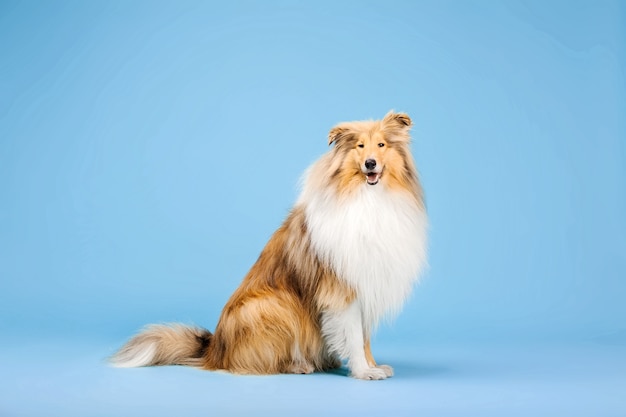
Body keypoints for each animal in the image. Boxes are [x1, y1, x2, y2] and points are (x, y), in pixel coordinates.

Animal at [109, 111, 426, 380]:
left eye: (382, 145)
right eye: (360, 146)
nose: (370, 163)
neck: (369, 199)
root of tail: (214, 350)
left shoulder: (367, 281)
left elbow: (364, 338)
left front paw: (374, 365)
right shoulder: (341, 289)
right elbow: (354, 336)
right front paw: (363, 371)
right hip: (275, 304)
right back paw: (298, 365)